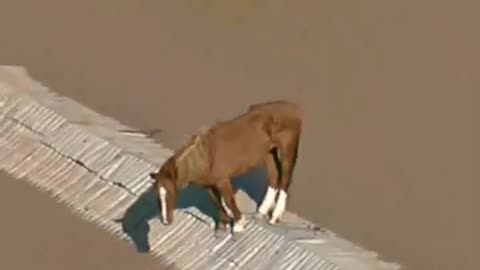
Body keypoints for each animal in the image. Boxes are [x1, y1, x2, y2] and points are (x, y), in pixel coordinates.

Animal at [150, 100, 302, 235]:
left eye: (170, 193)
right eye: (157, 195)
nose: (165, 221)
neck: (205, 157)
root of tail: (293, 107)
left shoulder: (222, 181)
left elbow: (229, 201)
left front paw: (239, 224)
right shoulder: (209, 185)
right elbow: (217, 202)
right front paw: (223, 225)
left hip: (288, 148)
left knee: (285, 179)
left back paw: (275, 216)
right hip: (268, 152)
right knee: (274, 176)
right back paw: (262, 210)